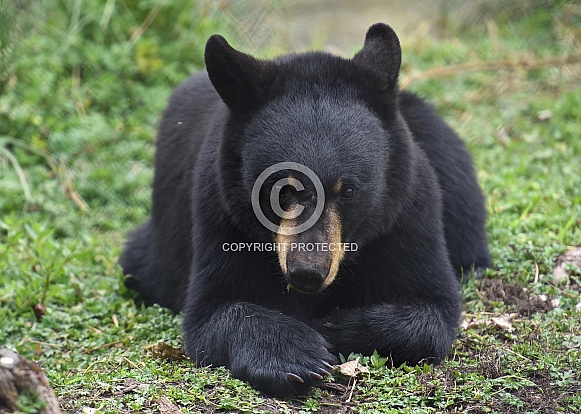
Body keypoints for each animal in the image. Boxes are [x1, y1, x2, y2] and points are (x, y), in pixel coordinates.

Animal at [121, 23, 490, 398]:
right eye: (281, 189)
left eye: (349, 191)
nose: (307, 272)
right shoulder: (220, 213)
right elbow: (212, 310)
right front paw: (294, 357)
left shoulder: (406, 212)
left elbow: (431, 309)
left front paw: (330, 326)